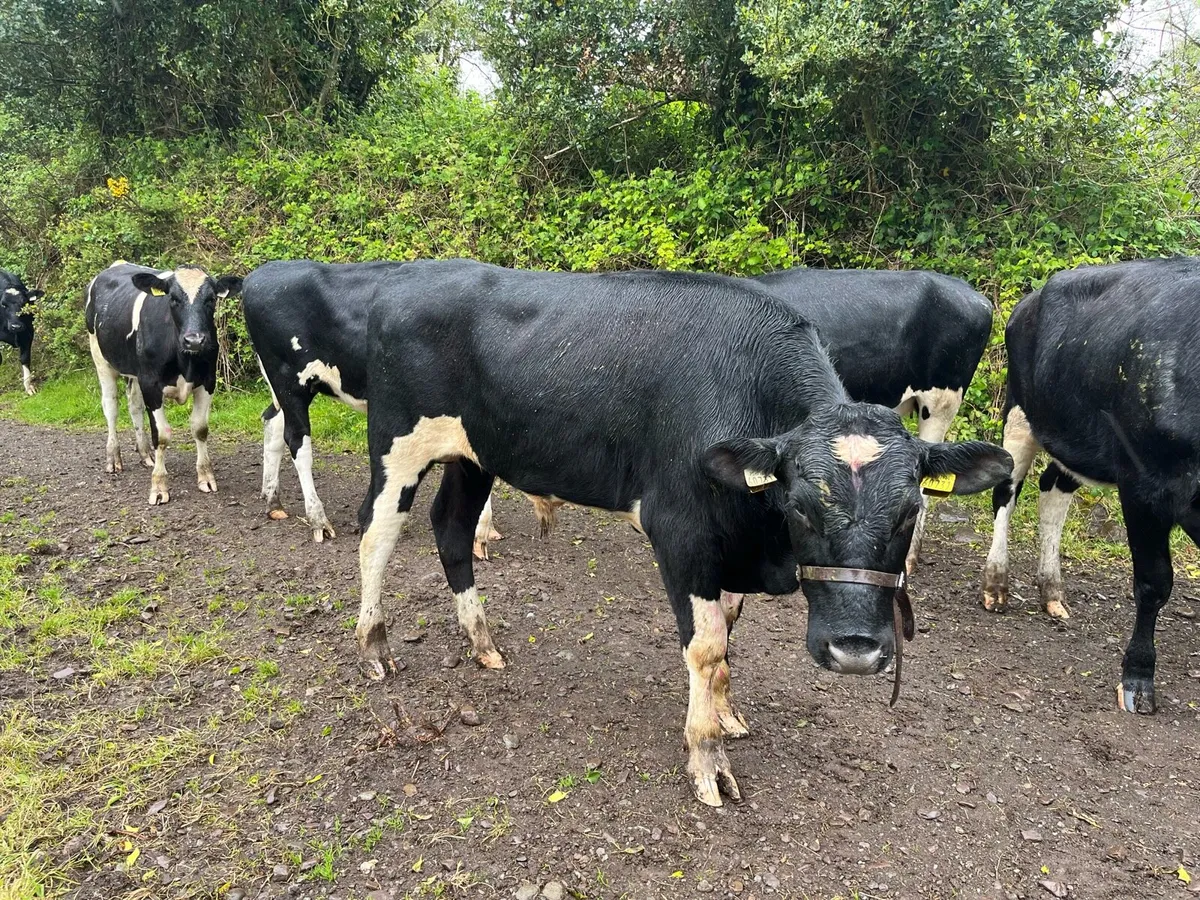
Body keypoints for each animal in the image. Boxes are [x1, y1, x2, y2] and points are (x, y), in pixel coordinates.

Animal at [85, 261, 242, 505]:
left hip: (135, 373)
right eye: (173, 299)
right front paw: (159, 486)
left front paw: (206, 477)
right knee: (111, 407)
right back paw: (113, 458)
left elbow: (200, 428)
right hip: (101, 358)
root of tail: (118, 264)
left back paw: (145, 454)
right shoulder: (151, 384)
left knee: (134, 405)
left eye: (211, 299)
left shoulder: (207, 381)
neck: (184, 359)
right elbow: (161, 435)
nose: (194, 340)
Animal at [241, 260, 501, 553]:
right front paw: (480, 530)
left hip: (285, 387)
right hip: (289, 380)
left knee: (272, 421)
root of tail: (260, 274)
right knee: (297, 440)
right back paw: (318, 518)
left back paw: (272, 499)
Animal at [981, 257, 1200, 715]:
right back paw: (996, 583)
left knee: (1052, 490)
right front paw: (1138, 678)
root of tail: (1028, 301)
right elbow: (1154, 583)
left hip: (1075, 436)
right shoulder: (1144, 484)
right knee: (1005, 494)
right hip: (1021, 413)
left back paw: (1052, 591)